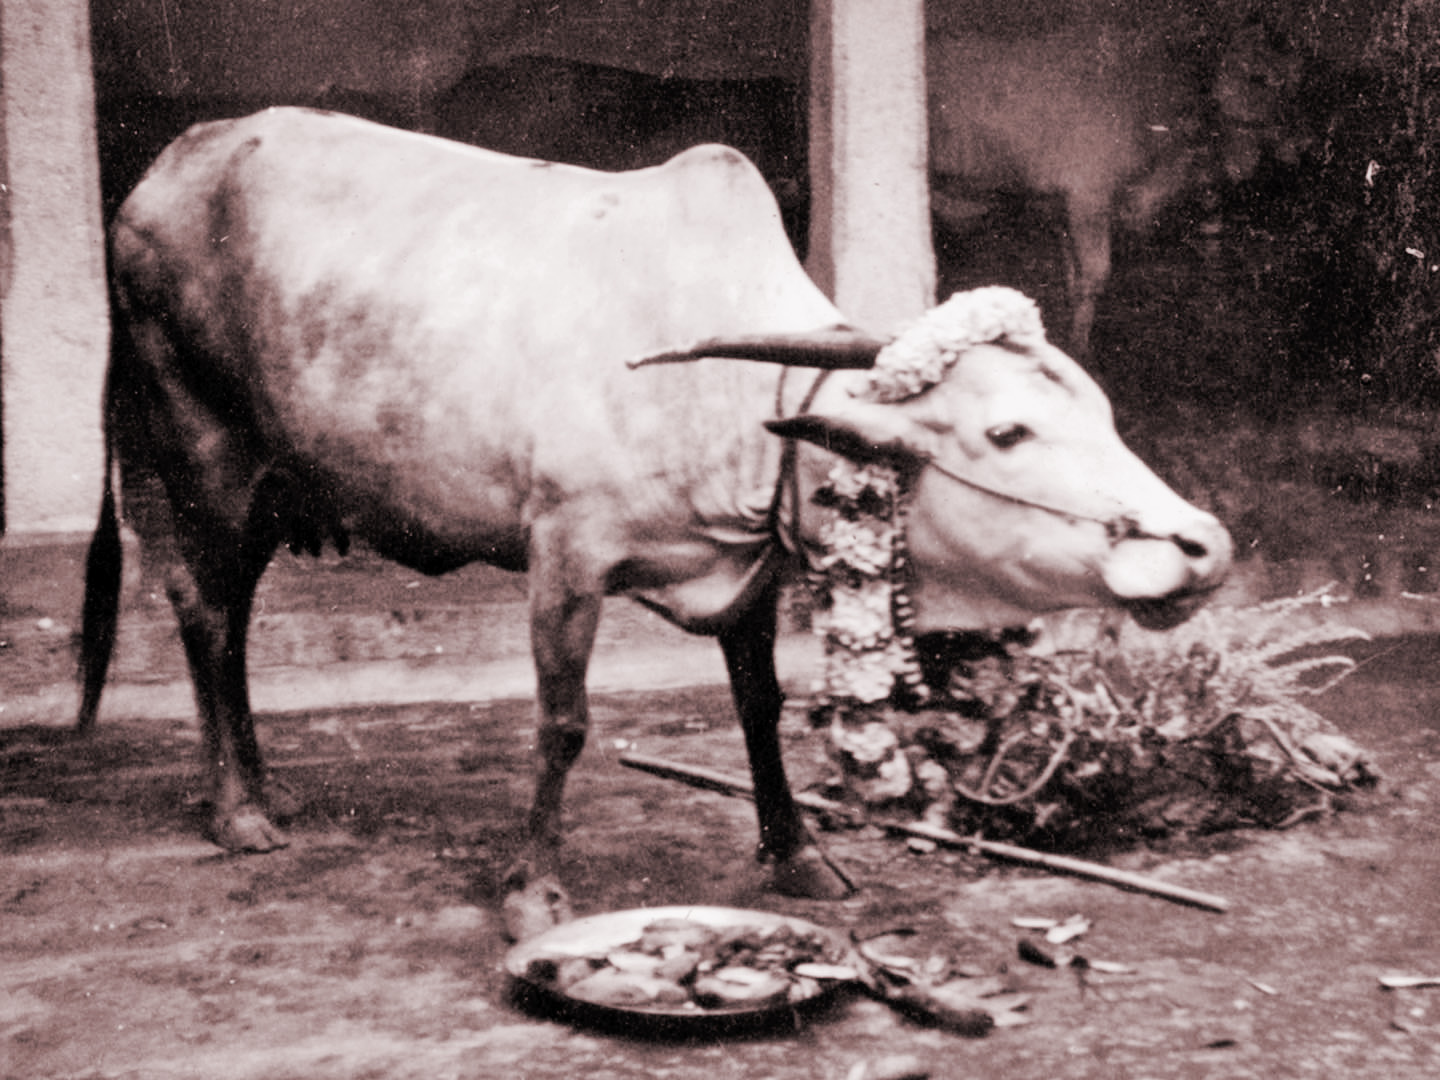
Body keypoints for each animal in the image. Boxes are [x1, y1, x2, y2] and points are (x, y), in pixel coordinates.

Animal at [78, 108, 1231, 936]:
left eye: (1104, 411)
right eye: (1006, 432)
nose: (1204, 545)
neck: (732, 402)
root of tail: (170, 163)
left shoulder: (748, 569)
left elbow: (762, 707)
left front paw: (797, 854)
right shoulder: (564, 555)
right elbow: (562, 724)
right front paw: (535, 893)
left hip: (276, 478)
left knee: (224, 614)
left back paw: (252, 787)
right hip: (206, 455)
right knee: (205, 610)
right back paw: (239, 810)